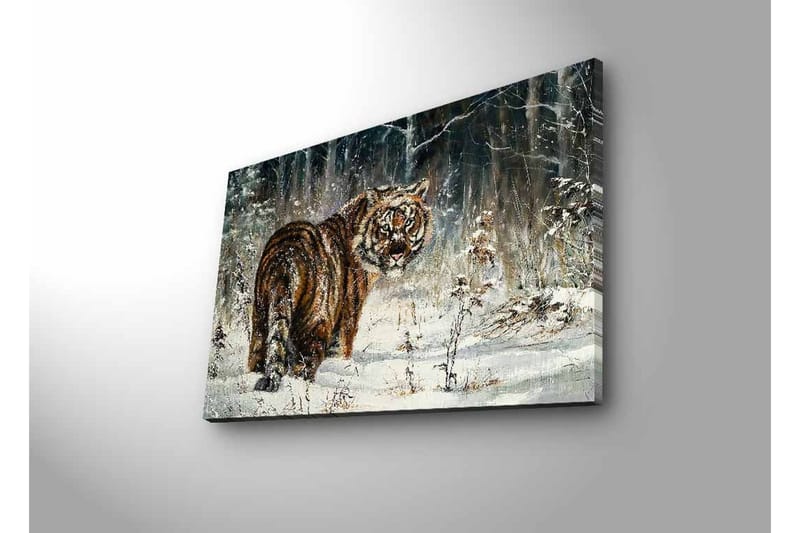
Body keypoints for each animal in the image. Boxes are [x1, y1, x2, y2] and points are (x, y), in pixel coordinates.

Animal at [248, 179, 433, 392]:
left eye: (409, 222)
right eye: (385, 227)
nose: (397, 253)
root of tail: (287, 255)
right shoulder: (347, 318)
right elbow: (342, 350)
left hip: (260, 320)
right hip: (314, 326)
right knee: (302, 368)